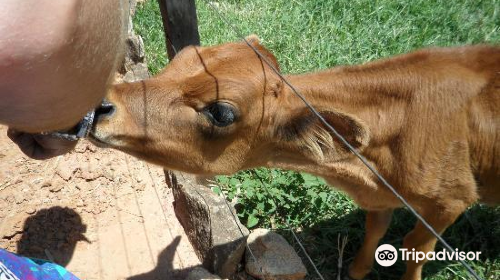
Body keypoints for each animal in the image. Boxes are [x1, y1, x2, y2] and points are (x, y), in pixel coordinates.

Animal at [91, 36, 500, 278]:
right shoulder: (379, 199)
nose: (98, 105)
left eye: (221, 112)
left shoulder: (450, 200)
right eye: (186, 55)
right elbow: (375, 230)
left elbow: (415, 248)